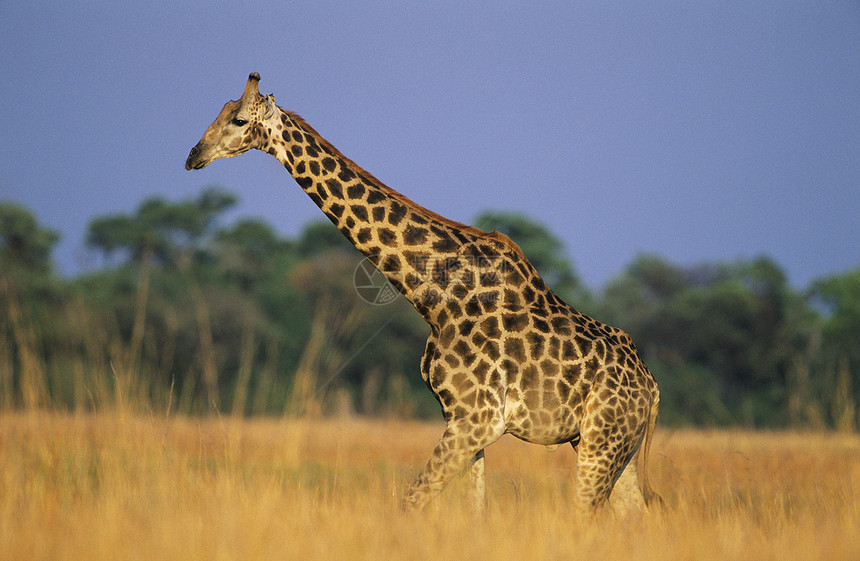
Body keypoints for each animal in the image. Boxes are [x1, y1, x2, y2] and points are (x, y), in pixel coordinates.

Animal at [186, 74, 660, 516]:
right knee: (637, 517)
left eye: (239, 119)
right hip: (611, 448)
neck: (434, 298)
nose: (193, 156)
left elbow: (411, 502)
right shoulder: (462, 419)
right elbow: (471, 511)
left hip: (601, 441)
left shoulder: (477, 418)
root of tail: (651, 388)